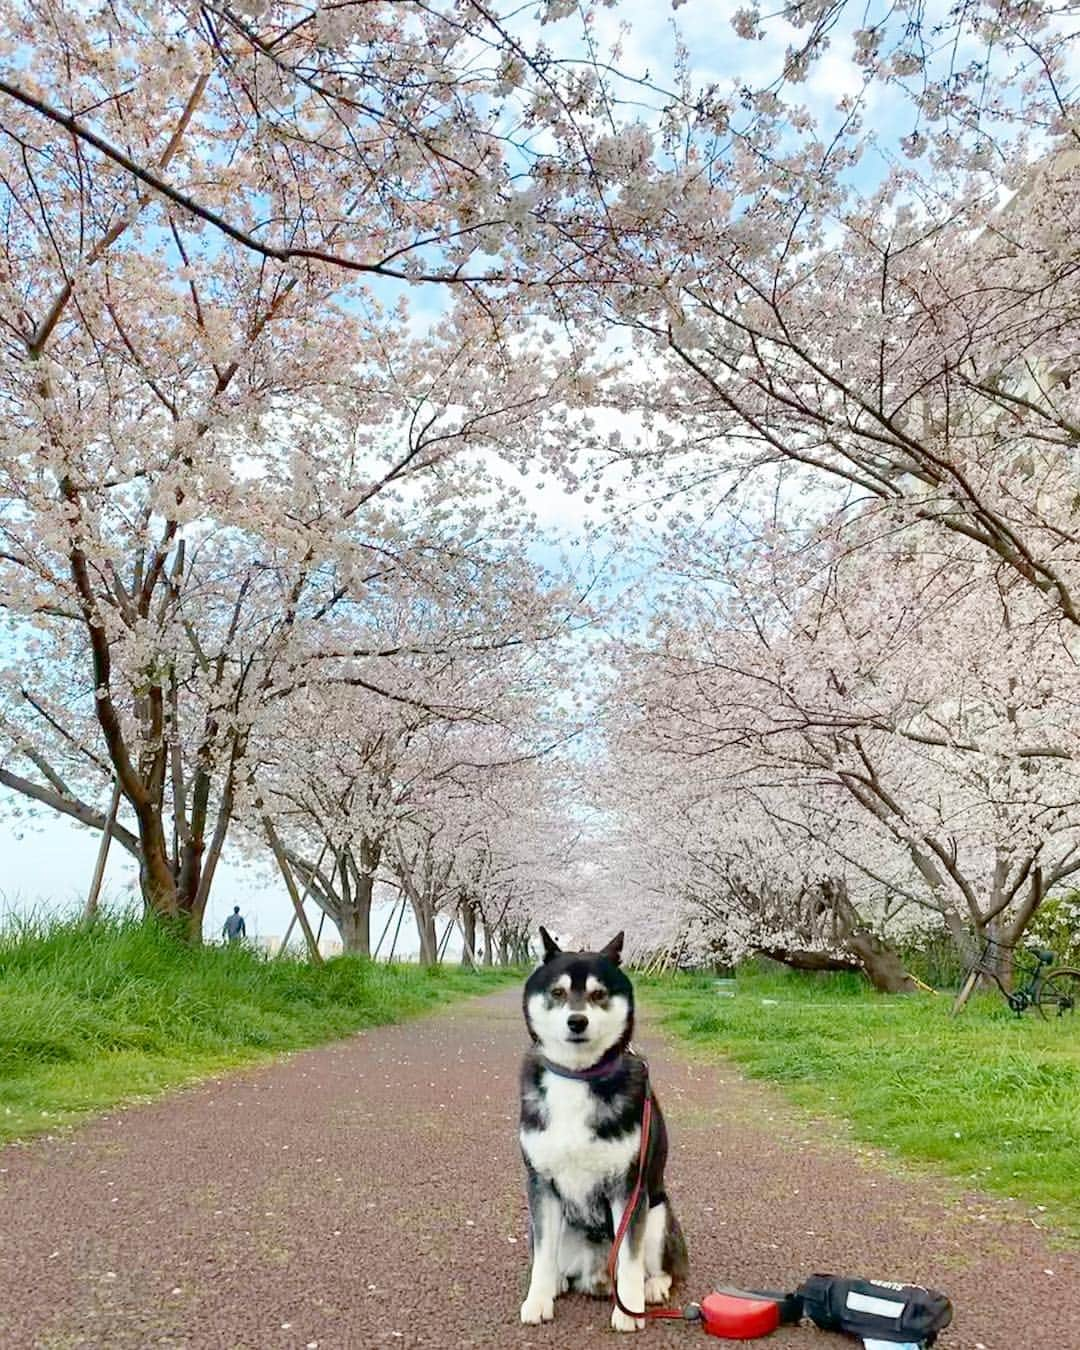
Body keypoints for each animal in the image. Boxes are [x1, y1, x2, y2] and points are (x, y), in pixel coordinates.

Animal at [518, 928, 688, 1328]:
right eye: (558, 993)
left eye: (598, 995)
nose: (577, 1021)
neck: (578, 1077)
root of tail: (594, 1274)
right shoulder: (541, 1184)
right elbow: (542, 1258)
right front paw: (538, 1300)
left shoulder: (629, 1188)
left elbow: (629, 1259)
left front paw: (629, 1310)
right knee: (555, 1260)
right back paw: (558, 1282)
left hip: (658, 1213)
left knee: (664, 1267)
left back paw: (652, 1288)